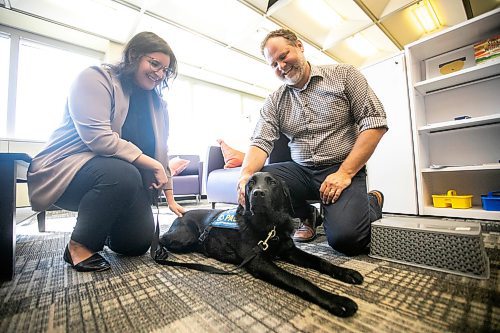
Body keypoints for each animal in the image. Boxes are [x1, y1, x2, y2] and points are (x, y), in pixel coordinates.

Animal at [161, 171, 364, 316]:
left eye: (272, 182)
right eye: (250, 184)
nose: (257, 193)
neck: (269, 227)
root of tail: (182, 213)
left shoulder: (289, 250)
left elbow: (320, 260)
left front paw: (346, 272)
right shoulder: (259, 261)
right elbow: (298, 279)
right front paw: (335, 301)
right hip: (185, 237)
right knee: (161, 237)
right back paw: (160, 253)